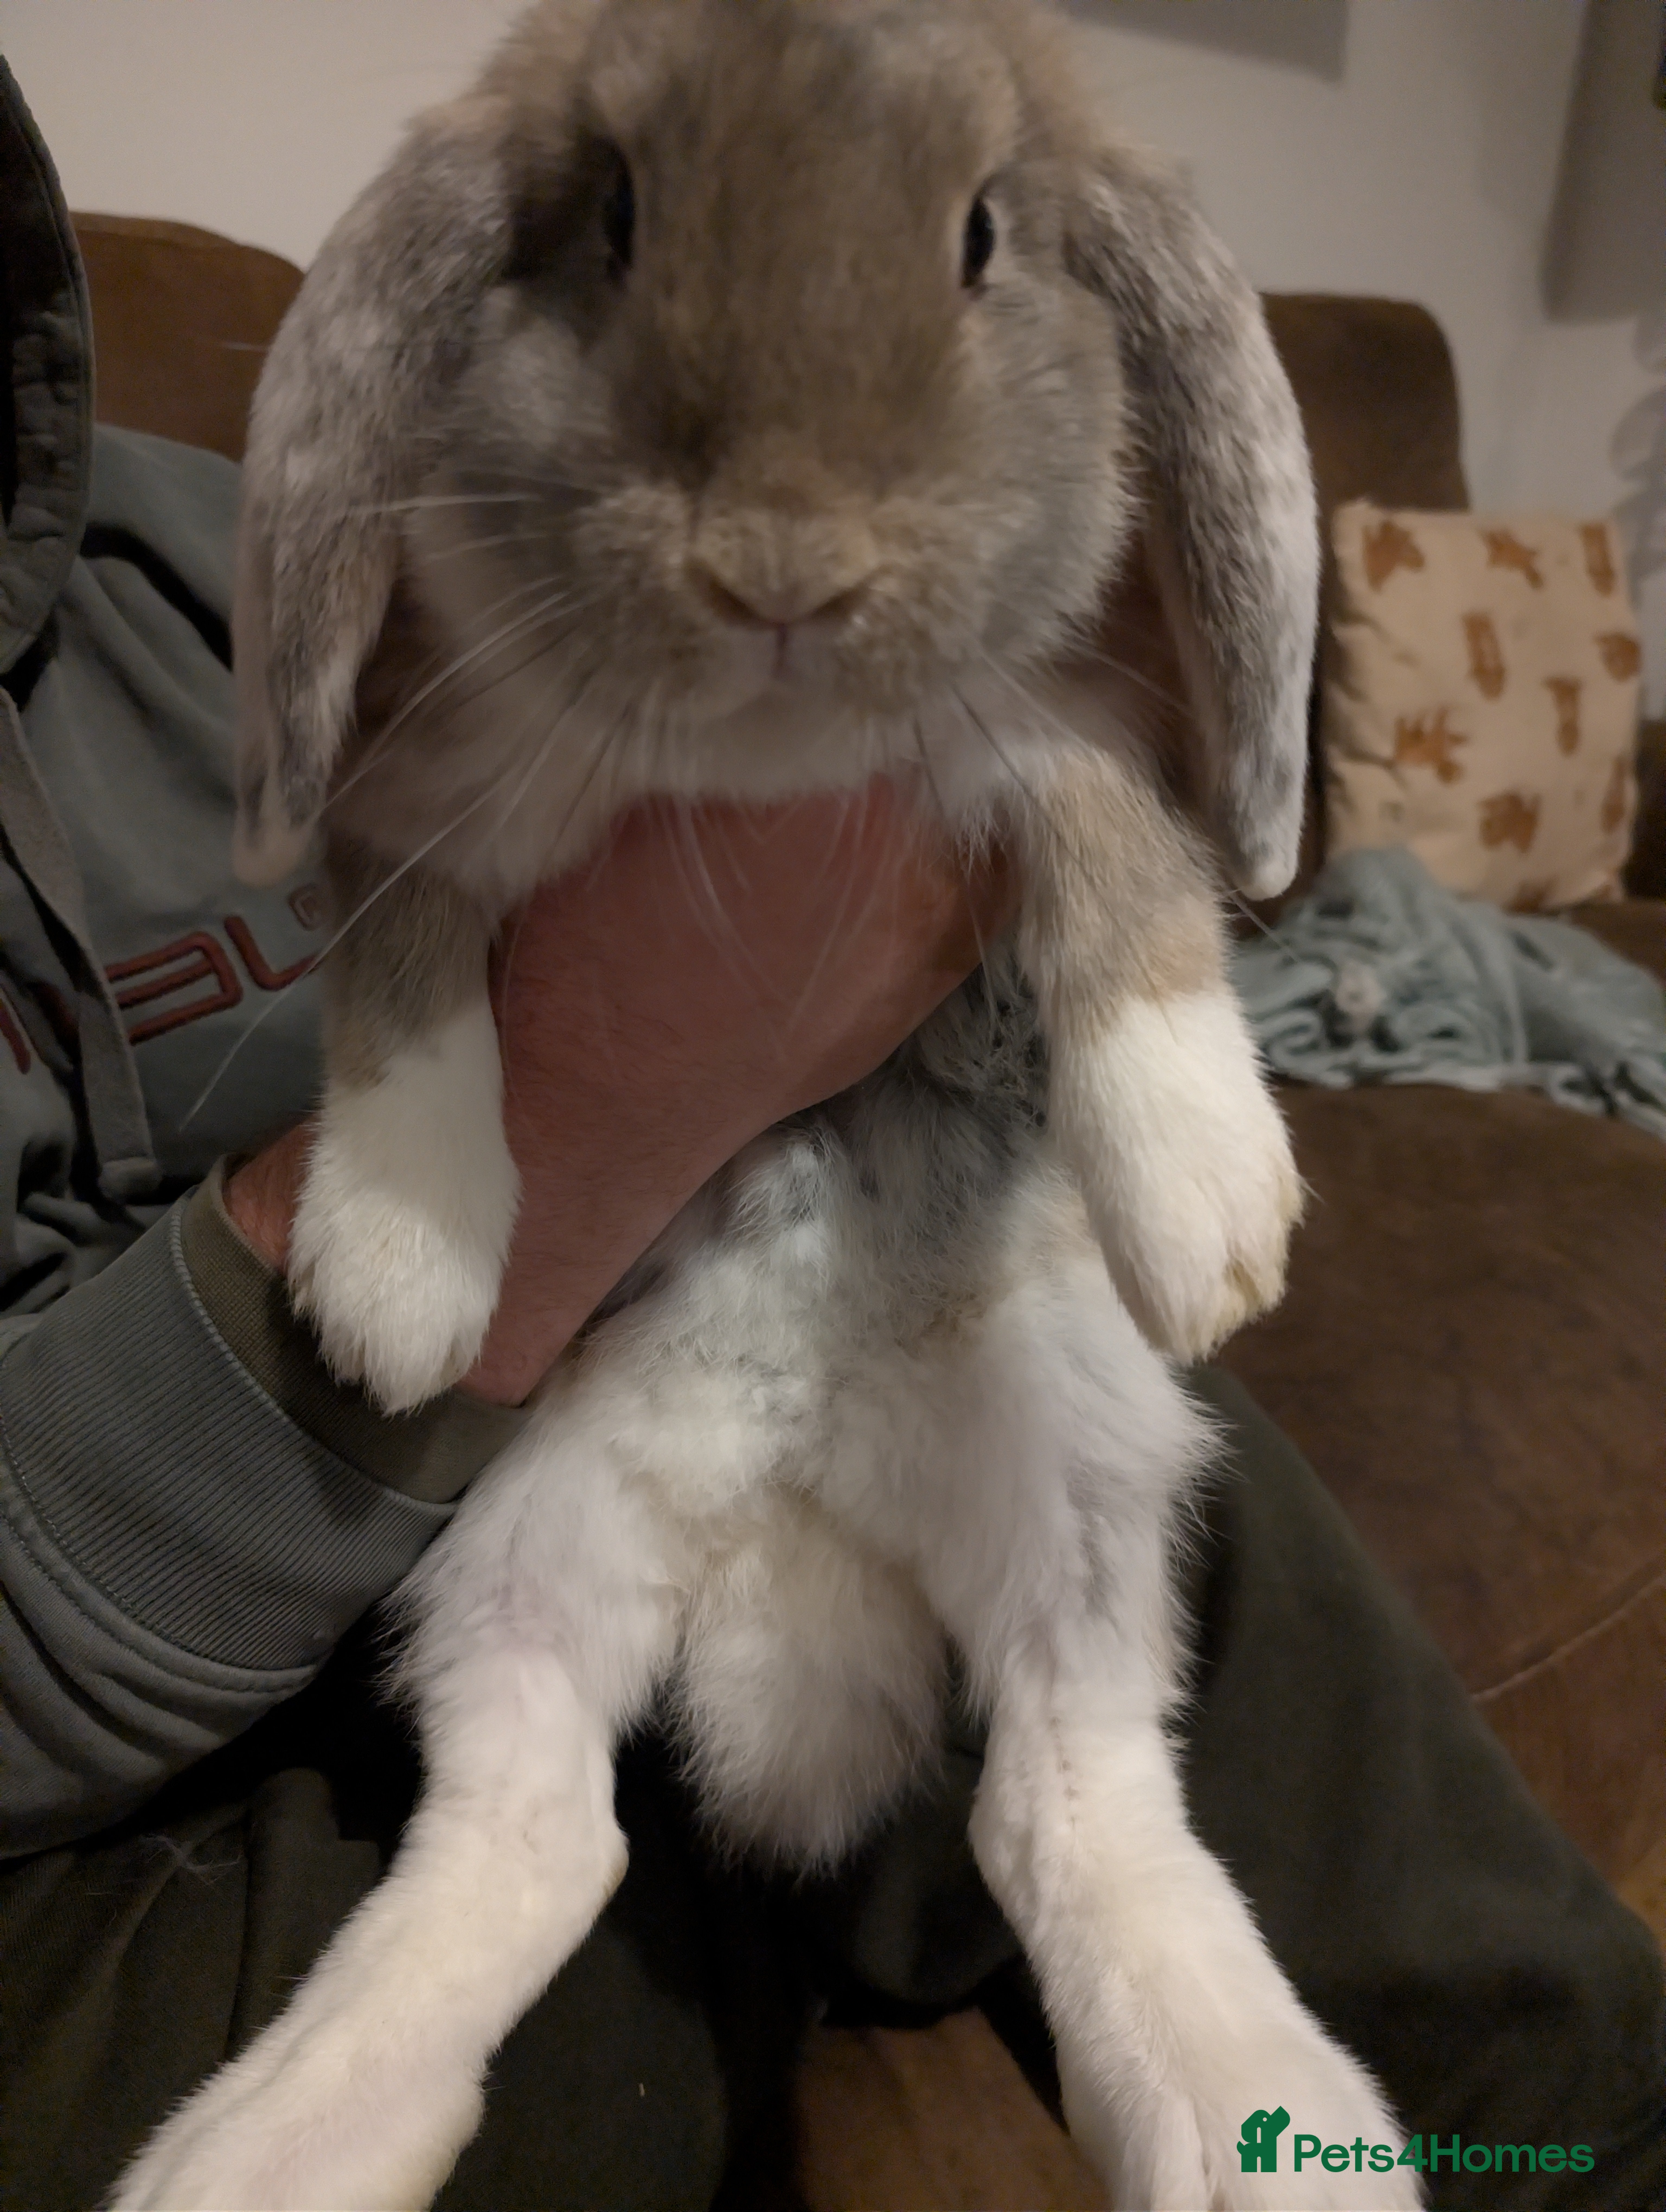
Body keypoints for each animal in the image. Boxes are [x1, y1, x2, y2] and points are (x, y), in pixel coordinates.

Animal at [115, 3, 1421, 2208]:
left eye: (984, 233)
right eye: (615, 221)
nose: (785, 571)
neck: (767, 768)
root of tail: (795, 1538)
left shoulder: (1050, 735)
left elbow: (1120, 860)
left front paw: (1205, 1190)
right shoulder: (423, 798)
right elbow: (406, 970)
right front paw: (400, 1266)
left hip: (1087, 1500)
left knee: (1066, 1799)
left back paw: (1267, 2124)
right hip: (521, 1558)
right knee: (545, 1830)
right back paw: (273, 2141)